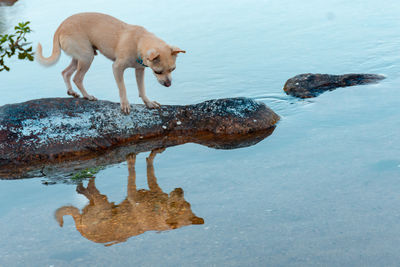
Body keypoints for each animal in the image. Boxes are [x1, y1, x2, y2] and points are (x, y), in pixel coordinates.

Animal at [35, 13, 185, 113]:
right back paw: (87, 96)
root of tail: (60, 27)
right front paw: (125, 104)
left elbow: (142, 88)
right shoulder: (117, 68)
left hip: (79, 58)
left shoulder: (139, 70)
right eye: (158, 71)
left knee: (65, 72)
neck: (139, 41)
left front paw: (148, 103)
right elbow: (122, 88)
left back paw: (72, 92)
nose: (168, 84)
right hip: (87, 57)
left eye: (173, 69)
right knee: (77, 78)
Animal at [54, 150, 203, 246]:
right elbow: (134, 172)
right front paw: (134, 159)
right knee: (91, 189)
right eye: (174, 205)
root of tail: (80, 228)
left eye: (186, 204)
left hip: (102, 204)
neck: (158, 210)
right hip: (104, 206)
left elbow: (149, 165)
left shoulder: (151, 188)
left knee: (88, 192)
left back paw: (83, 186)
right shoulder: (133, 194)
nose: (180, 190)